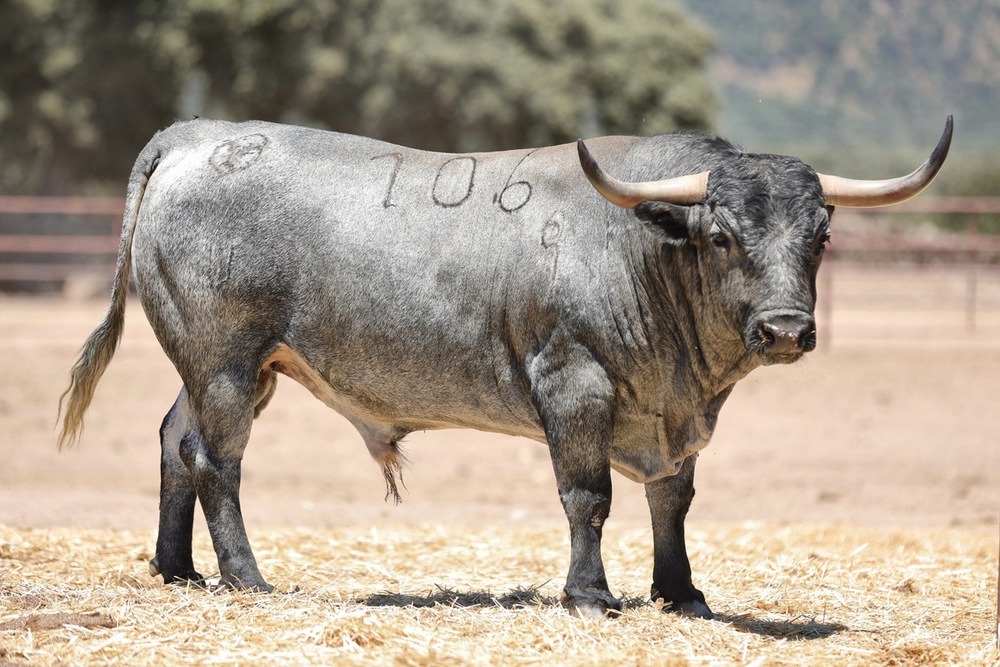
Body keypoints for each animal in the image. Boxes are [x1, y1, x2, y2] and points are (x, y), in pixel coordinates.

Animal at [58, 116, 948, 620]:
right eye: (723, 234)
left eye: (821, 237)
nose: (786, 328)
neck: (639, 247)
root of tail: (197, 134)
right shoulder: (575, 384)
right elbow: (589, 496)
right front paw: (590, 594)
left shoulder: (675, 412)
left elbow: (672, 501)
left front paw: (682, 593)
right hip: (225, 361)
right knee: (216, 460)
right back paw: (246, 577)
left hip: (230, 367)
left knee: (175, 441)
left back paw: (177, 569)